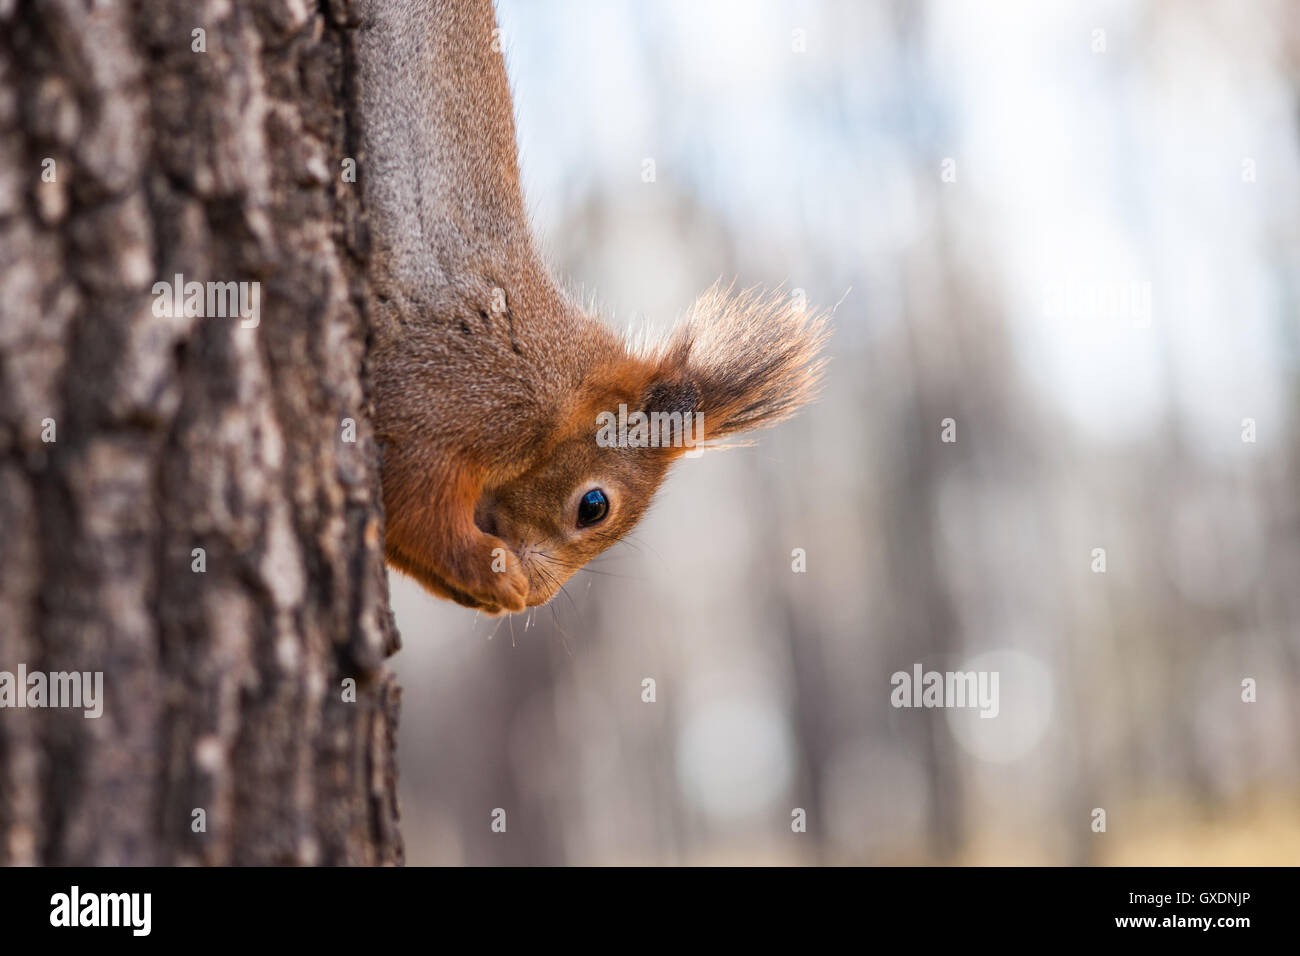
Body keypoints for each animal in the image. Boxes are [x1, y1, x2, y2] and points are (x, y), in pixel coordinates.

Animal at [356, 0, 821, 613]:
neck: (565, 393)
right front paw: (496, 576)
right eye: (593, 507)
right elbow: (418, 504)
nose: (537, 599)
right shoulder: (456, 399)